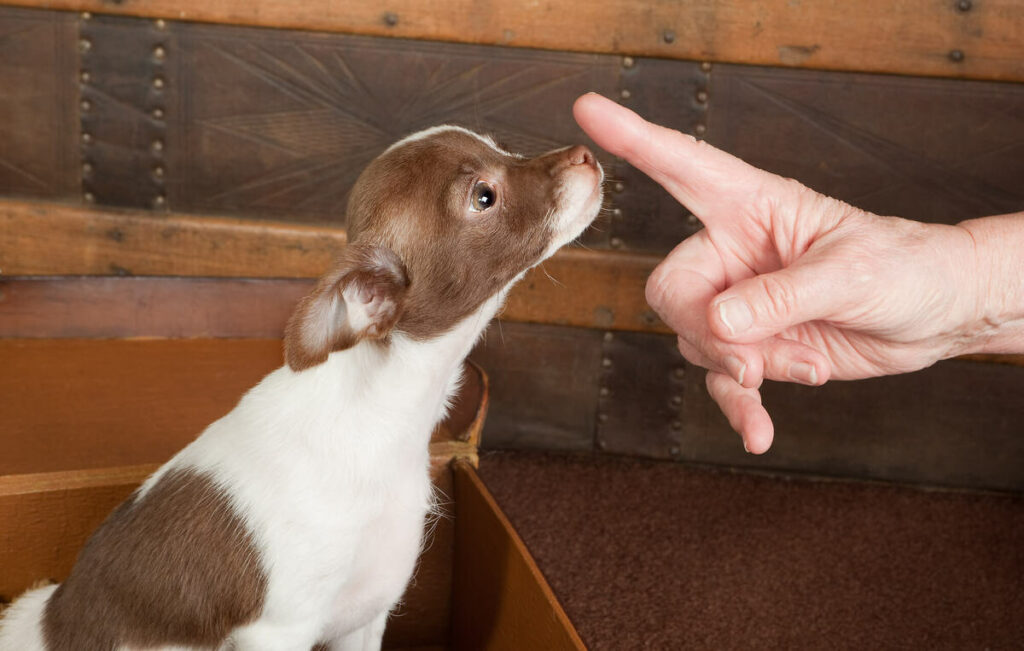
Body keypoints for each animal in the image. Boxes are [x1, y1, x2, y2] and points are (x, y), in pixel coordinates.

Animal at [0, 123, 598, 651]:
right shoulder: (280, 632)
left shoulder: (365, 616)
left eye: (502, 147)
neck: (383, 415)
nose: (586, 155)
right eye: (484, 197)